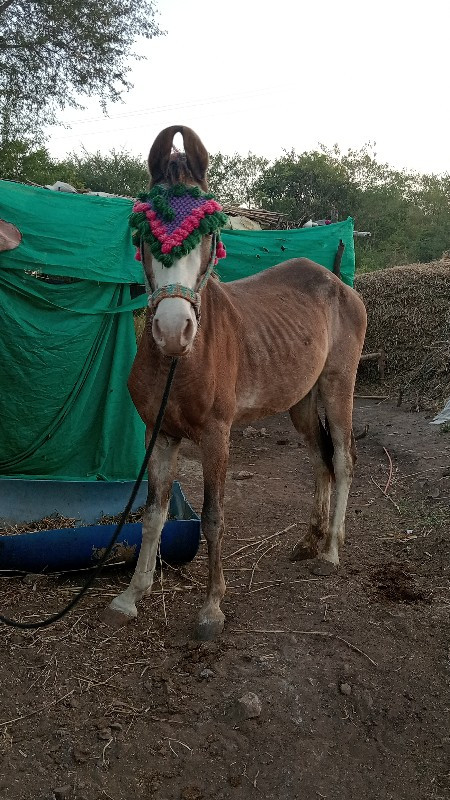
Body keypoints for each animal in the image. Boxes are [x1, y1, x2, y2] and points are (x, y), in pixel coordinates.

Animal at [106, 125, 370, 636]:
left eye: (209, 231)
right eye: (145, 231)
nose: (174, 331)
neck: (179, 365)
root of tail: (339, 284)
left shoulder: (216, 436)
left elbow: (213, 518)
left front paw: (212, 608)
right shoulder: (159, 434)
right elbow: (152, 515)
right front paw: (133, 594)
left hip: (337, 387)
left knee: (344, 459)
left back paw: (331, 550)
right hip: (302, 403)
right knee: (321, 461)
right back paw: (310, 540)